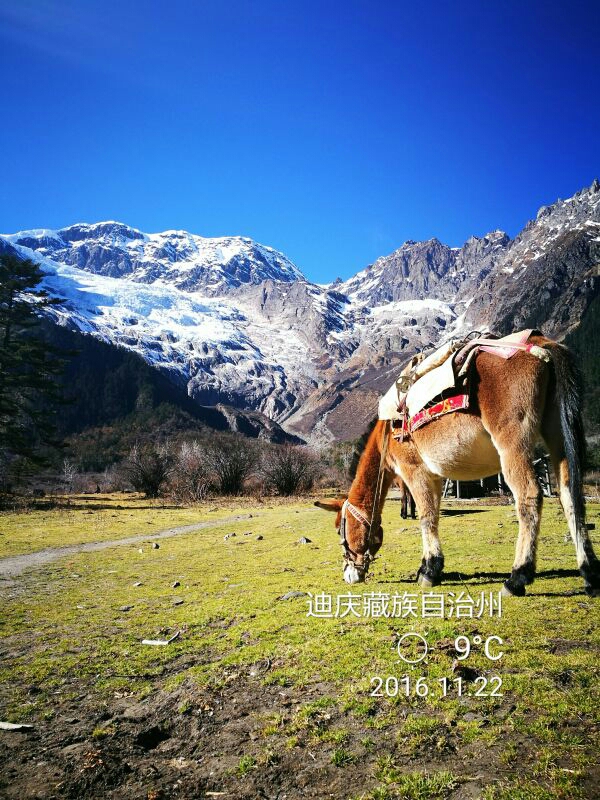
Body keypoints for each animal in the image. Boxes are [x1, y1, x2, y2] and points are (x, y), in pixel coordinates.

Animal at [316, 334, 596, 596]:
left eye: (340, 532)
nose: (349, 575)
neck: (387, 433)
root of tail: (543, 344)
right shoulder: (435, 477)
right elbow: (434, 513)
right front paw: (428, 566)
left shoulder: (414, 471)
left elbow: (426, 516)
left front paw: (429, 571)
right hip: (558, 437)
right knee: (571, 496)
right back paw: (589, 572)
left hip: (513, 446)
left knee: (529, 497)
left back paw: (518, 577)